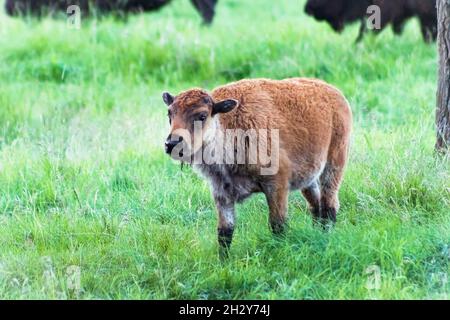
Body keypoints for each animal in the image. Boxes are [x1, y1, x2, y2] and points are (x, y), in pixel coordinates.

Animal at [162, 79, 352, 256]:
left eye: (202, 116)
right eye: (170, 113)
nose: (171, 144)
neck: (228, 125)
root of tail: (336, 94)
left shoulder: (276, 185)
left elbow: (278, 225)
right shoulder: (221, 192)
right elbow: (225, 232)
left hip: (334, 164)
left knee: (329, 204)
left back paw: (327, 236)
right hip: (309, 177)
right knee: (315, 204)